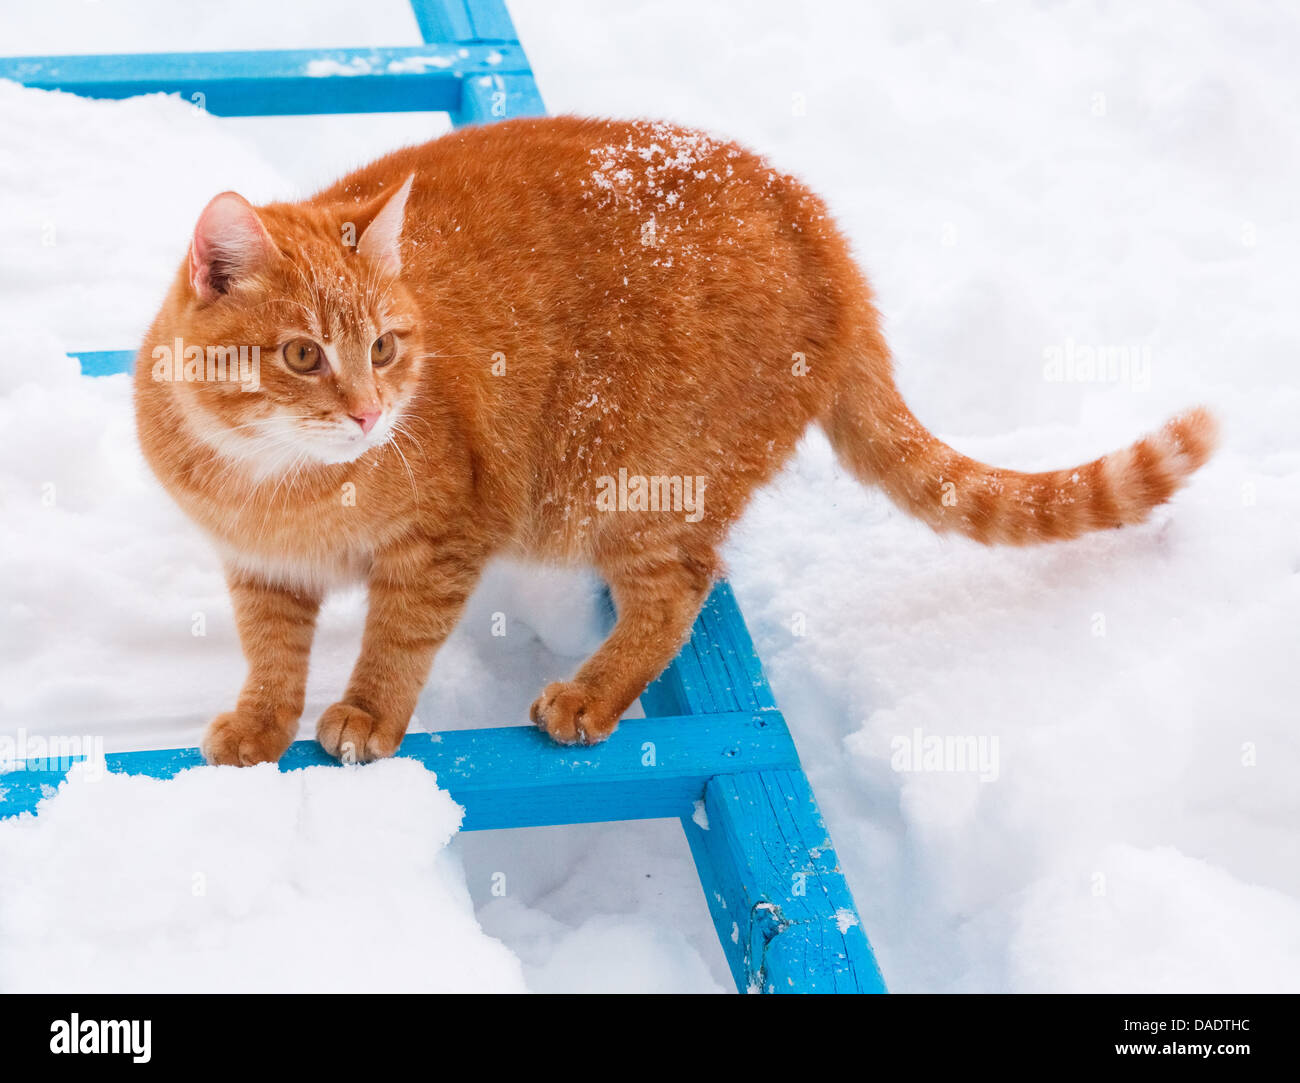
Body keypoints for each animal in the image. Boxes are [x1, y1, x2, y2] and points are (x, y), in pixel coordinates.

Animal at [134, 116, 1216, 759]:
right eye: (303, 355)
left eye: (387, 348)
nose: (365, 412)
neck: (278, 486)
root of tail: (814, 223)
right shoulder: (259, 569)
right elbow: (272, 651)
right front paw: (261, 723)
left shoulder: (446, 541)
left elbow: (398, 640)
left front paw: (366, 714)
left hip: (636, 489)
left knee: (681, 590)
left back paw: (591, 693)